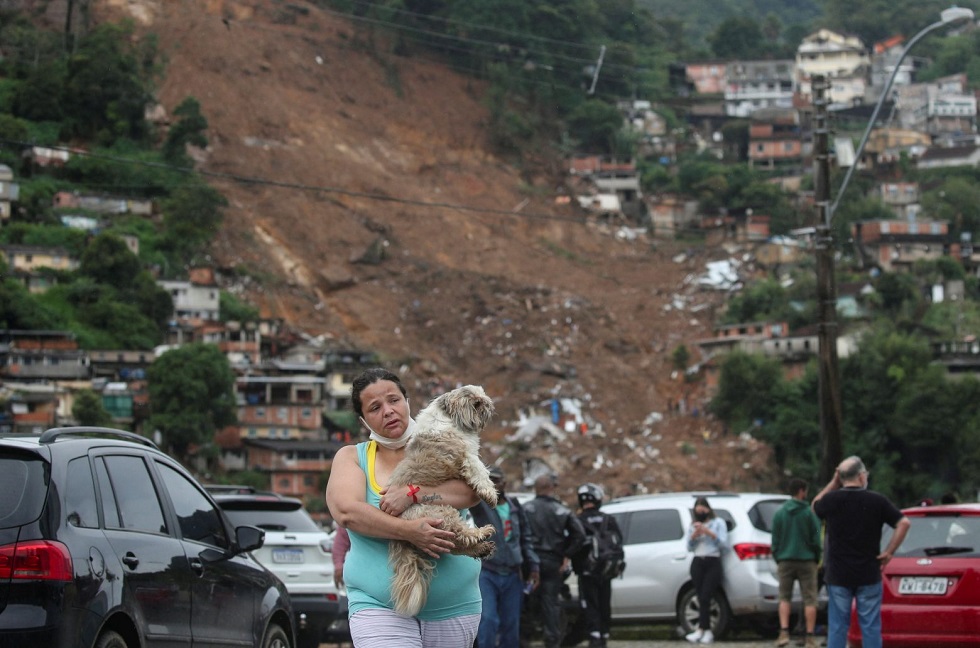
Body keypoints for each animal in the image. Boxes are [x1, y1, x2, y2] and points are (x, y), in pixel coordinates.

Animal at [388, 384, 502, 616]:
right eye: (477, 402)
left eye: (483, 397)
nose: (488, 404)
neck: (449, 418)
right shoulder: (468, 457)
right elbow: (480, 473)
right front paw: (490, 494)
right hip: (442, 512)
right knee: (462, 534)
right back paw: (482, 533)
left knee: (456, 544)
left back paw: (482, 548)